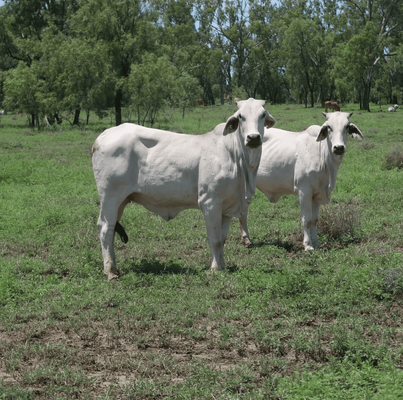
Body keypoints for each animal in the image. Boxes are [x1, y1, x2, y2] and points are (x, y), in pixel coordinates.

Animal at [92, 98, 276, 280]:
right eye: (240, 116)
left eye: (262, 115)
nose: (253, 138)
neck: (237, 158)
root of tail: (102, 136)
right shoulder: (210, 203)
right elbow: (215, 239)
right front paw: (215, 268)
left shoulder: (228, 207)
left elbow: (222, 239)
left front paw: (222, 266)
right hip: (110, 196)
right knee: (105, 227)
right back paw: (110, 271)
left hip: (121, 200)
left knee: (111, 228)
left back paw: (115, 268)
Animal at [235, 112, 364, 250]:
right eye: (329, 127)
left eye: (347, 127)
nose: (339, 147)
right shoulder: (304, 191)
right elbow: (307, 219)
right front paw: (308, 245)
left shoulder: (316, 195)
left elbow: (315, 220)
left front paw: (316, 243)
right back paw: (246, 239)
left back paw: (246, 239)